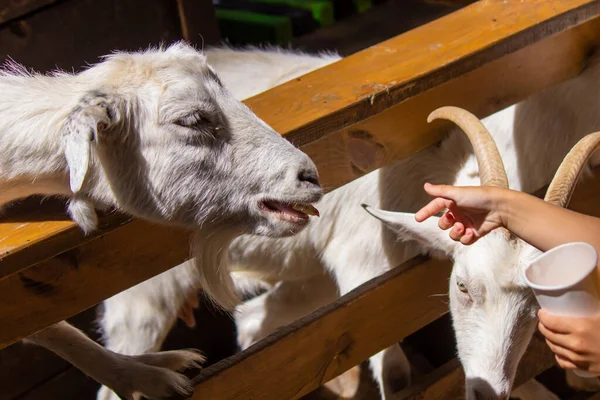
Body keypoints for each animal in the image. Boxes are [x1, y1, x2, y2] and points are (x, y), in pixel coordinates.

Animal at [99, 49, 600, 396]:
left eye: (537, 304)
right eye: (461, 286)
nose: (486, 391)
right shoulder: (365, 271)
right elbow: (395, 374)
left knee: (254, 322)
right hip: (142, 297)